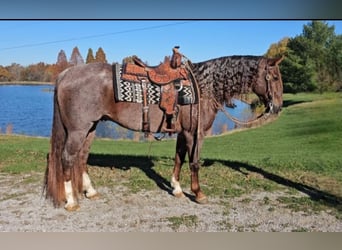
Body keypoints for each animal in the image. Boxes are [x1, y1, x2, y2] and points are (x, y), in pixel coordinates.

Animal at [44, 49, 284, 211]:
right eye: (273, 77)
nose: (278, 107)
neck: (202, 86)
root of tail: (65, 74)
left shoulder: (182, 133)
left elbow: (179, 158)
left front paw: (176, 188)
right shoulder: (195, 133)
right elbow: (194, 162)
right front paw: (198, 193)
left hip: (90, 128)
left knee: (81, 157)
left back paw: (90, 191)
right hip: (78, 130)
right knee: (67, 158)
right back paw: (71, 201)